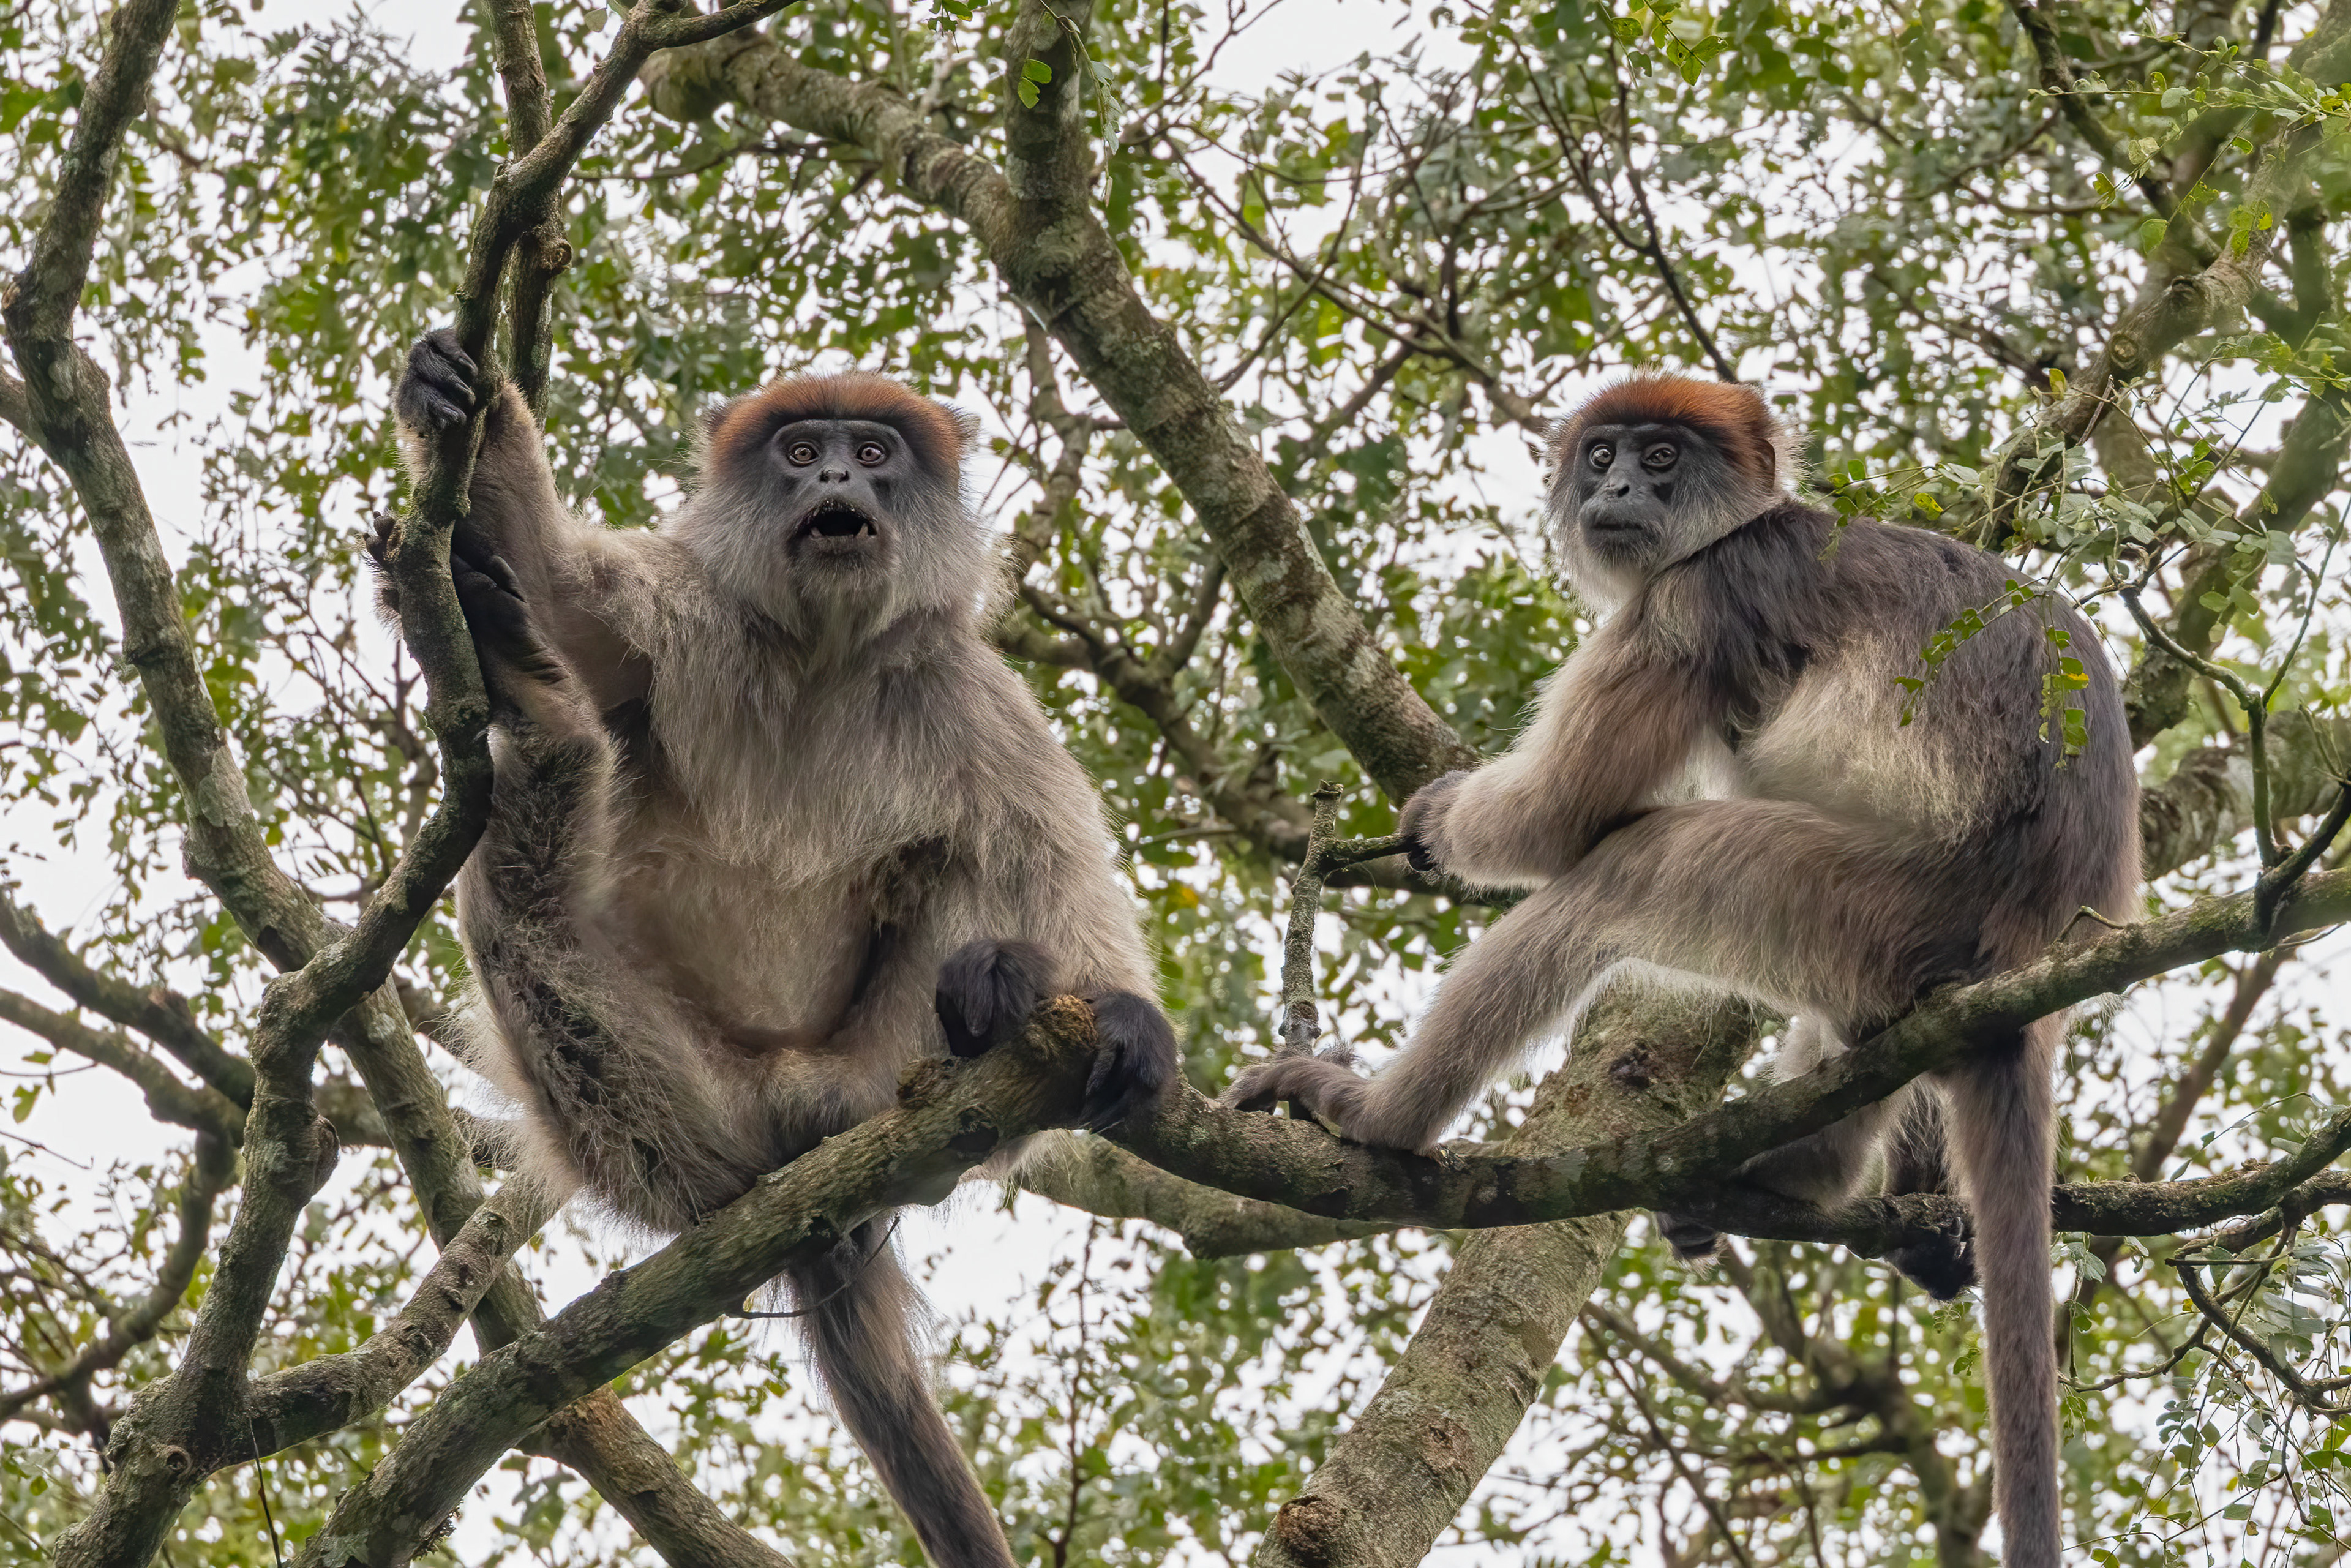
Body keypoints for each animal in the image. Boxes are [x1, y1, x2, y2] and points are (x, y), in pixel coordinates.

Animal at [385, 330, 1177, 1568]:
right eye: (802, 453)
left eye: (873, 453)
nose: (837, 482)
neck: (823, 657)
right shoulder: (683, 616)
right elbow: (559, 581)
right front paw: (457, 400)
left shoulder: (972, 695)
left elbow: (1052, 861)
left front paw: (1125, 1014)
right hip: (687, 1109)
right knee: (526, 921)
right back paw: (538, 712)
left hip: (875, 1061)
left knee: (971, 877)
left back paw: (991, 1009)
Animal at [1224, 373, 2138, 1568]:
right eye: (1605, 454)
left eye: (1661, 460)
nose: (1613, 489)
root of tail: (2029, 950)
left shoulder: (1689, 606)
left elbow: (1559, 822)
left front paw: (1440, 820)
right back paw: (1808, 1172)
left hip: (1878, 900)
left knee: (1627, 868)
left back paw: (1379, 1119)